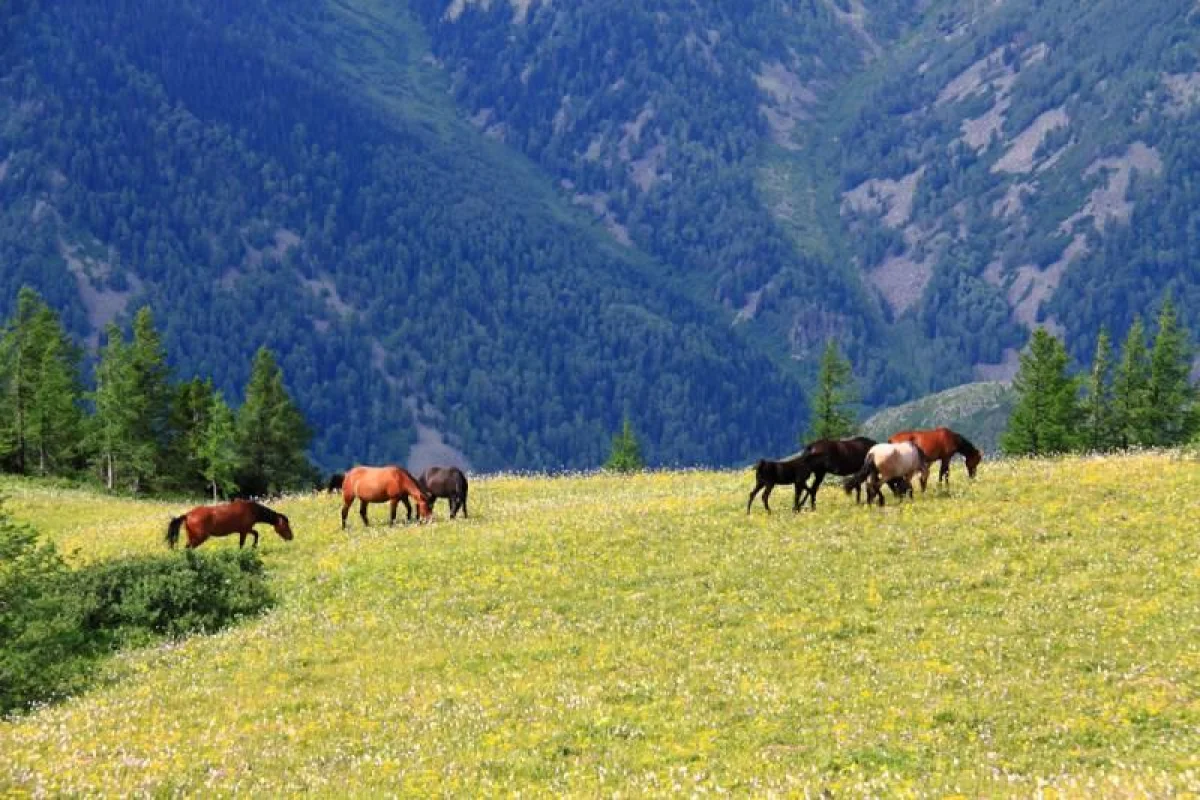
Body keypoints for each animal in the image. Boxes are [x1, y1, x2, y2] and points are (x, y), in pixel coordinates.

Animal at [164, 501, 292, 551]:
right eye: (286, 525)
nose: (291, 537)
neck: (251, 509)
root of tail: (188, 515)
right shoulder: (244, 530)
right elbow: (243, 542)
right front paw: (250, 548)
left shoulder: (245, 529)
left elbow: (255, 534)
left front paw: (253, 547)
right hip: (199, 537)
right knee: (189, 548)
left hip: (191, 536)